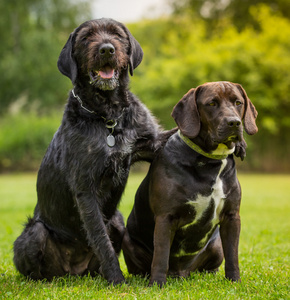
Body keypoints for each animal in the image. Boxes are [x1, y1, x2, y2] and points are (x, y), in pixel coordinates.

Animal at [14, 17, 172, 284]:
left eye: (117, 34)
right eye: (86, 37)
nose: (107, 49)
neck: (108, 117)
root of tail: (73, 272)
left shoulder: (150, 143)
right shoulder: (86, 188)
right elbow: (100, 238)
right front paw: (117, 280)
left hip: (117, 220)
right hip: (35, 233)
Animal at [122, 81, 258, 286]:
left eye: (238, 102)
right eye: (211, 103)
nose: (234, 122)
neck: (210, 162)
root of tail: (181, 273)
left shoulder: (232, 216)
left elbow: (233, 255)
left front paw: (235, 281)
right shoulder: (165, 218)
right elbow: (160, 256)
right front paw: (157, 284)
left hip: (216, 246)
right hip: (128, 242)